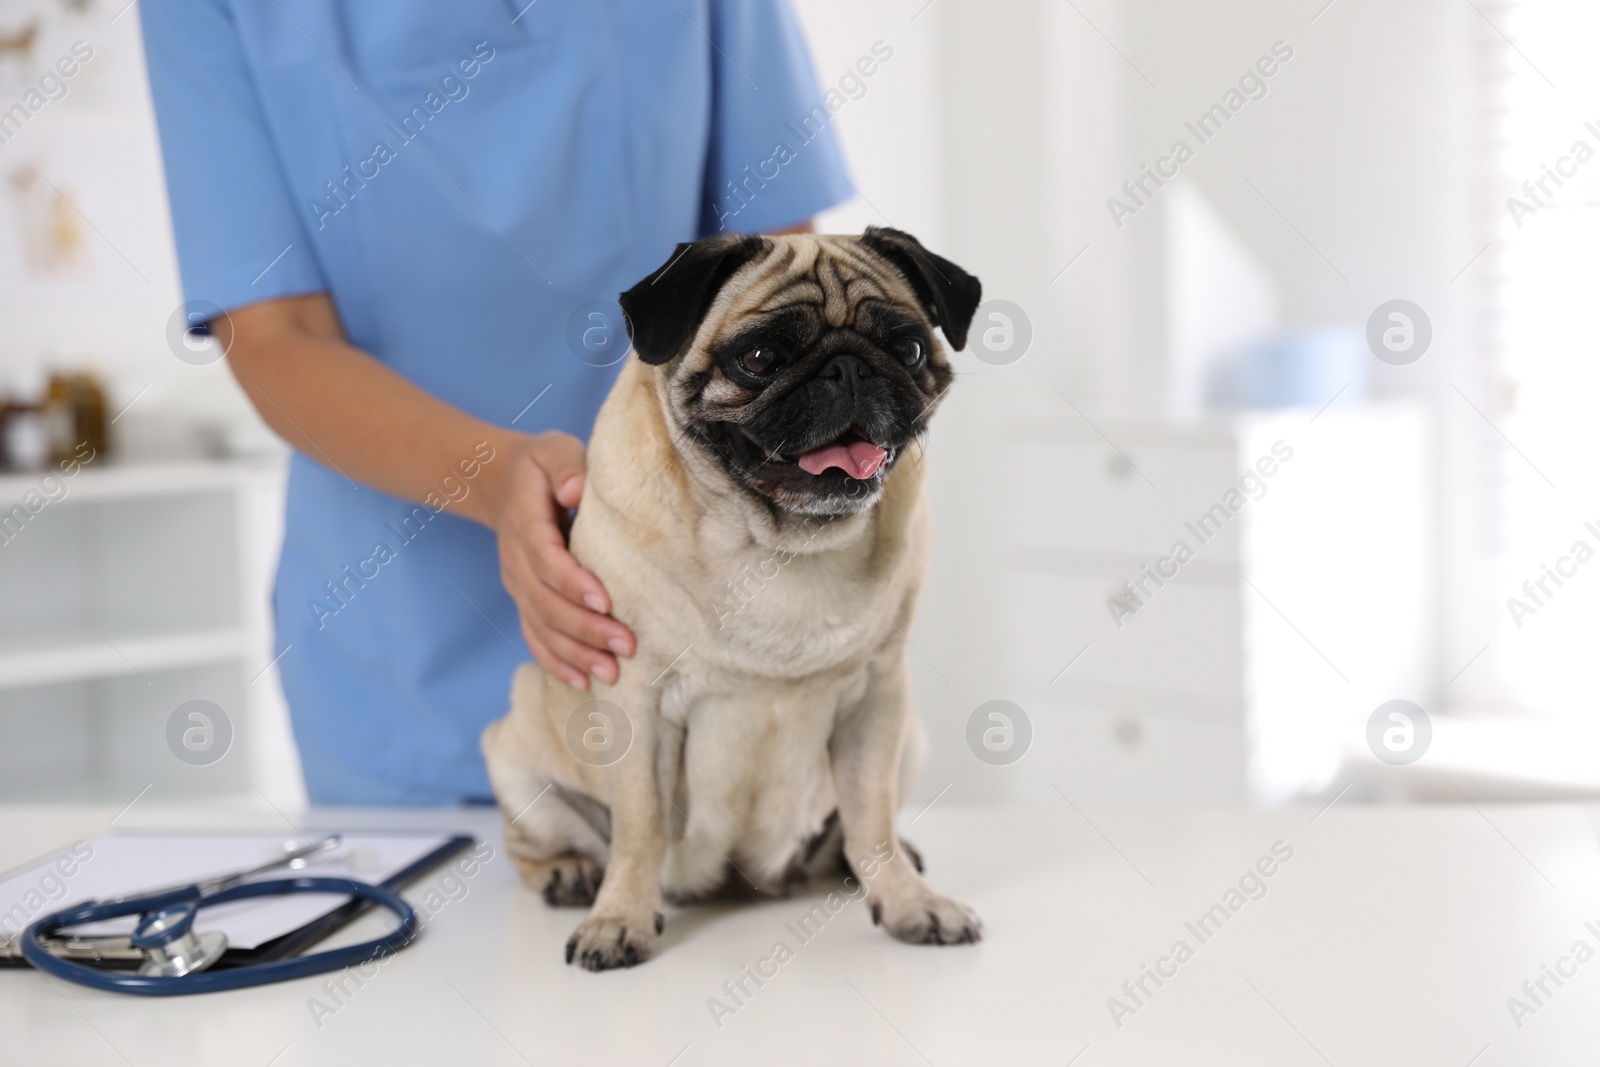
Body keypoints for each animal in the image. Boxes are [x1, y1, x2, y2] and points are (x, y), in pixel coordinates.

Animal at [480, 225, 979, 966]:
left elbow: (872, 817)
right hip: (513, 756)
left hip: (909, 739)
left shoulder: (878, 698)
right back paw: (569, 873)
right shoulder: (637, 701)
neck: (779, 543)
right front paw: (620, 917)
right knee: (537, 844)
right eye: (760, 358)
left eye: (909, 348)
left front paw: (906, 902)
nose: (850, 369)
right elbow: (639, 829)